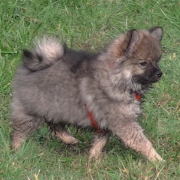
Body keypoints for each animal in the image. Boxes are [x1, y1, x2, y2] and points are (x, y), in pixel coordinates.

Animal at [10, 27, 163, 162]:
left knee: (54, 125)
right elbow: (143, 142)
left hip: (57, 108)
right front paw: (158, 160)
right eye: (143, 63)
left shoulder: (107, 122)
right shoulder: (123, 122)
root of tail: (31, 65)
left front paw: (93, 158)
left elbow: (100, 141)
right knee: (20, 132)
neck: (117, 78)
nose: (160, 73)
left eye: (157, 60)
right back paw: (17, 151)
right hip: (32, 111)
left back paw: (69, 139)